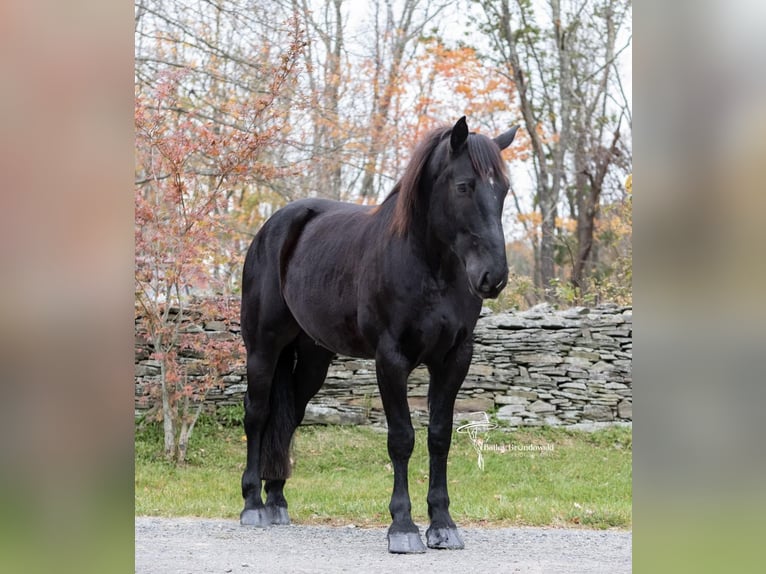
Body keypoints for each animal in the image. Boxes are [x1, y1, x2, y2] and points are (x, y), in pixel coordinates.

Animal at [238, 116, 516, 552]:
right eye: (464, 186)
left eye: (502, 189)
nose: (493, 277)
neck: (429, 267)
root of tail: (274, 227)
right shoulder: (391, 359)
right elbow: (401, 438)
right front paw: (403, 527)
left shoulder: (454, 359)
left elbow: (439, 436)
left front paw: (442, 524)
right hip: (262, 349)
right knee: (258, 414)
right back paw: (252, 504)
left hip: (312, 359)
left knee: (289, 417)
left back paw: (277, 500)